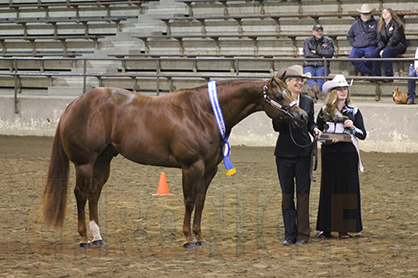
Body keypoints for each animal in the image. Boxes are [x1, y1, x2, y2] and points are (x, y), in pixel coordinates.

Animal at [43, 76, 306, 250]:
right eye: (279, 96)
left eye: (290, 93)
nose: (303, 116)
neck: (203, 112)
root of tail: (73, 104)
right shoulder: (192, 167)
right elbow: (189, 201)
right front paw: (188, 239)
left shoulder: (209, 170)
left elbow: (200, 201)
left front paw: (200, 238)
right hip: (84, 163)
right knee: (80, 194)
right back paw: (83, 239)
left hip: (102, 161)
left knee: (94, 194)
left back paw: (97, 237)